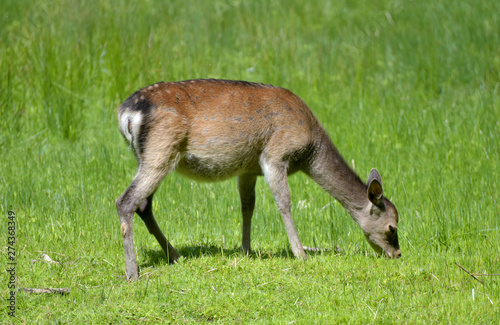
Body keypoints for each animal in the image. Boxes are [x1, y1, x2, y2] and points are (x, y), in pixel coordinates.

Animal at [115, 78, 400, 278]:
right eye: (392, 227)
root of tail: (125, 114)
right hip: (162, 150)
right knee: (125, 201)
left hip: (147, 156)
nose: (397, 254)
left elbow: (247, 206)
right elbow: (284, 202)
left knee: (144, 204)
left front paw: (246, 250)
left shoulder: (248, 168)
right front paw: (301, 254)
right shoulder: (275, 154)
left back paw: (173, 255)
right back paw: (133, 272)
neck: (309, 149)